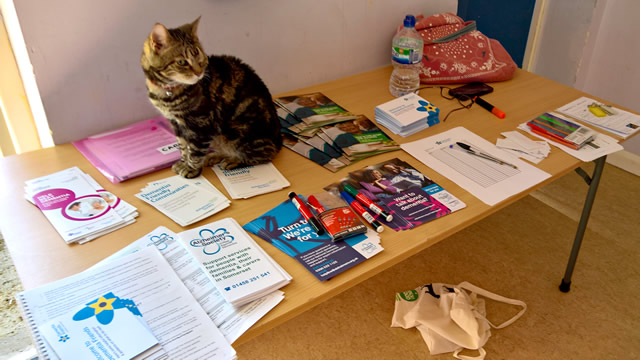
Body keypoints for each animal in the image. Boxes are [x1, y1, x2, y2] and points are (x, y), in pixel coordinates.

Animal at [141, 16, 282, 179]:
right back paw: (214, 156)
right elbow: (183, 146)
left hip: (237, 131)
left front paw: (191, 169)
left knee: (265, 154)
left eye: (200, 58)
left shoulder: (202, 124)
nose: (199, 72)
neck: (166, 91)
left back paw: (233, 160)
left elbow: (194, 151)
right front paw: (183, 162)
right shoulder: (176, 123)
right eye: (182, 62)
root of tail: (279, 140)